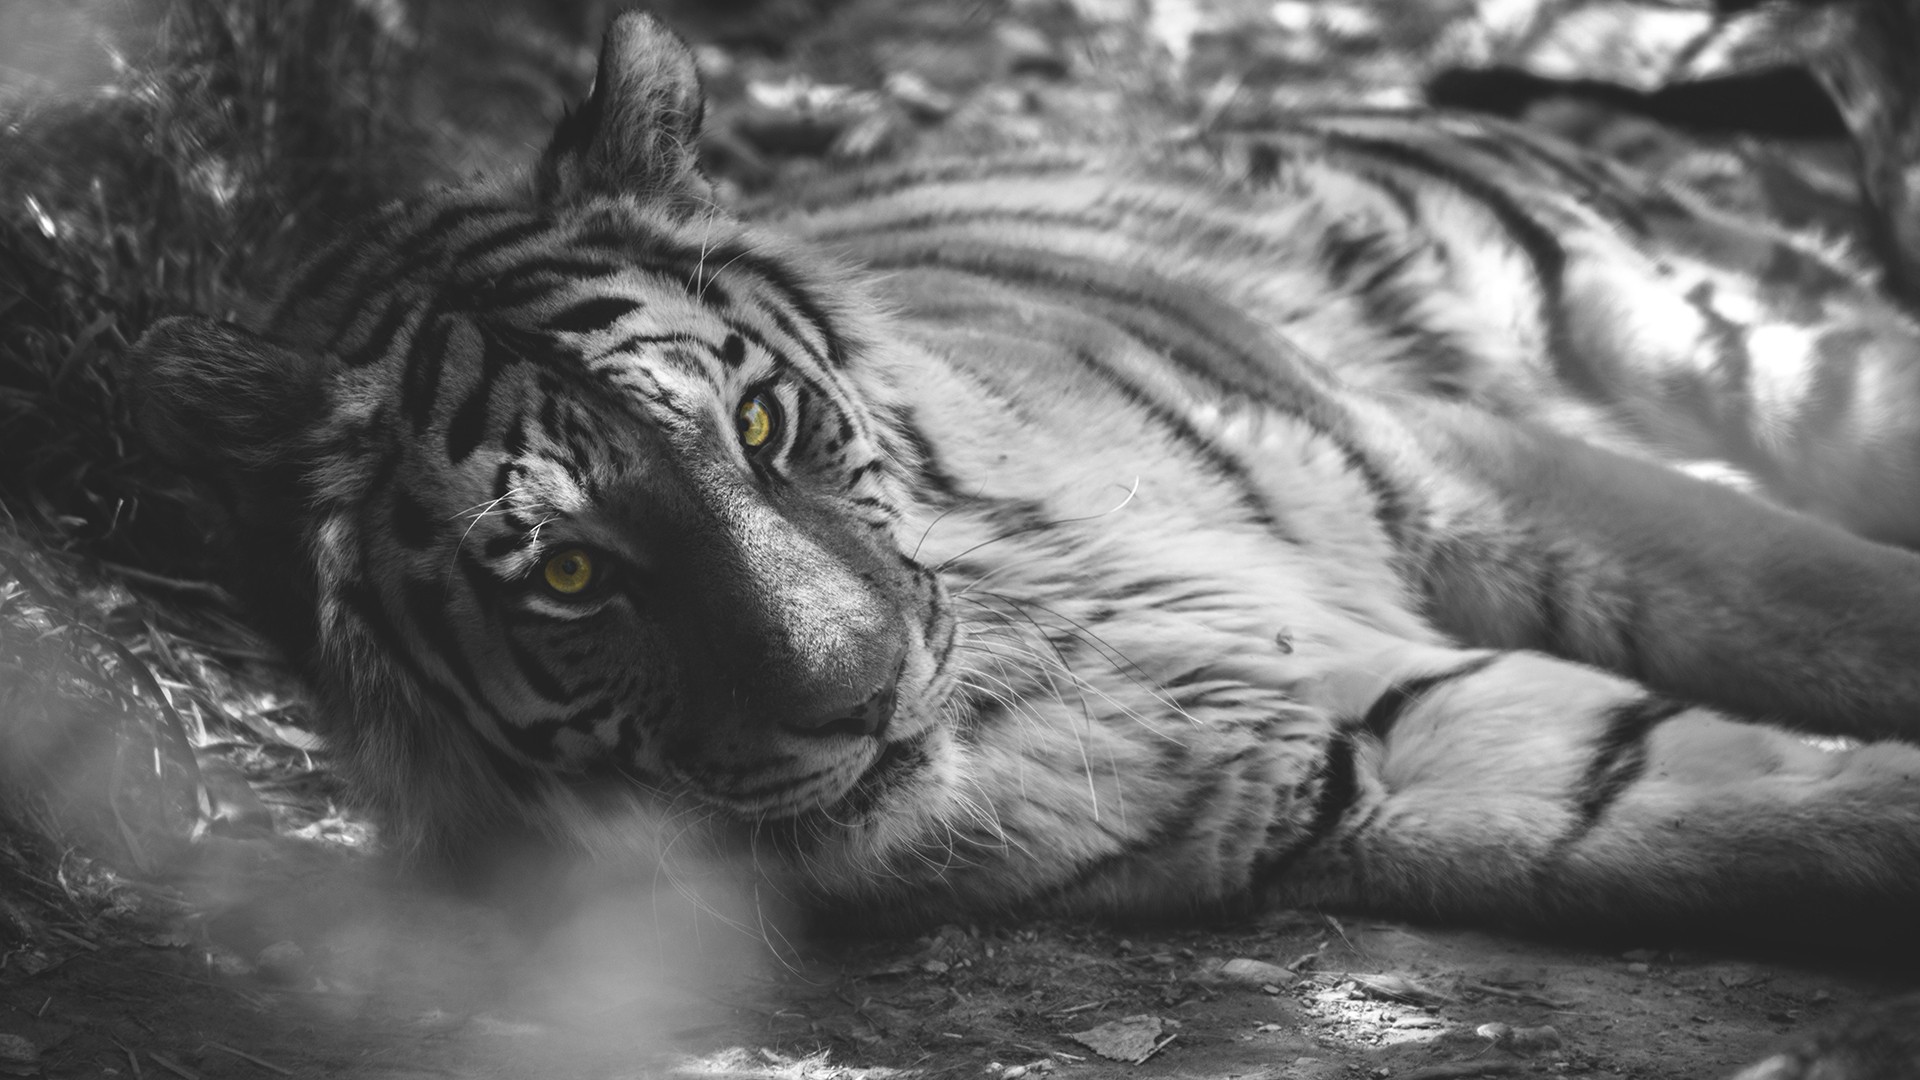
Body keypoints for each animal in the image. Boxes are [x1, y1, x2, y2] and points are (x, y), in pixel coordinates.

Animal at [127, 11, 1920, 952]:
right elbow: (1749, 814)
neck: (1035, 637)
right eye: (570, 575)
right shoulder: (1351, 763)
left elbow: (1839, 606)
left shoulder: (1458, 472)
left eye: (758, 429)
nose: (860, 702)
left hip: (1712, 340)